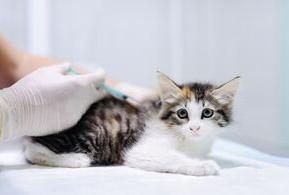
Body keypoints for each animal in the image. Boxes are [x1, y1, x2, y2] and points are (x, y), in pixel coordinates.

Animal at [24, 72, 238, 176]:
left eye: (207, 113)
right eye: (182, 113)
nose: (195, 128)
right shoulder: (142, 148)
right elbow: (171, 157)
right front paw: (203, 165)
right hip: (95, 132)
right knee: (32, 150)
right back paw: (76, 159)